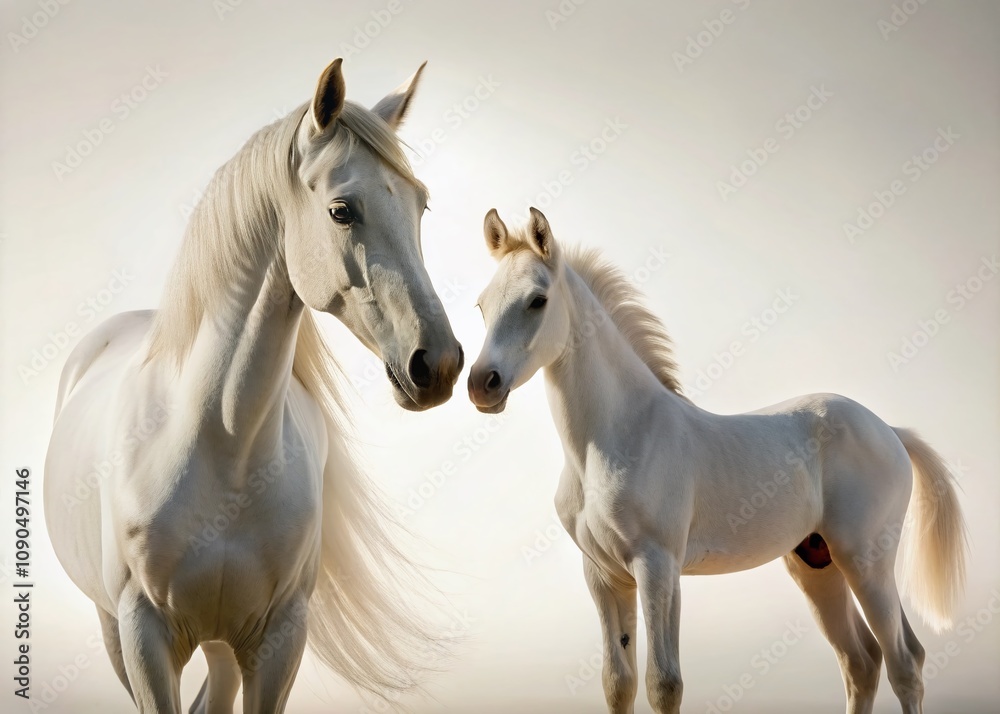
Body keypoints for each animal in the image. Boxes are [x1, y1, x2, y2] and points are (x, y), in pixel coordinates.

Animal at [43, 59, 464, 713]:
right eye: (342, 210)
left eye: (421, 205)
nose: (438, 364)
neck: (222, 443)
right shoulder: (143, 638)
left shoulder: (279, 639)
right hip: (115, 628)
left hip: (220, 645)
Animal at [467, 207, 967, 714]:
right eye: (482, 304)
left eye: (537, 300)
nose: (481, 384)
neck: (610, 443)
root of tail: (891, 431)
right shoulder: (604, 576)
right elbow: (618, 683)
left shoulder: (658, 566)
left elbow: (664, 683)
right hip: (817, 565)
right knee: (862, 661)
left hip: (866, 560)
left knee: (904, 662)